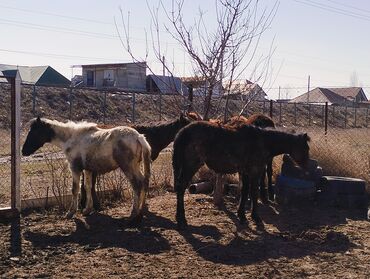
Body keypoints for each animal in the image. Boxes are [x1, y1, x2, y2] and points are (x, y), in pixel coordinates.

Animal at [22, 117, 152, 224]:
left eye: (34, 132)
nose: (23, 151)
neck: (71, 138)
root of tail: (138, 137)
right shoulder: (88, 169)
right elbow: (88, 186)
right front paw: (87, 210)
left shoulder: (75, 168)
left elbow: (75, 189)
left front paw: (70, 213)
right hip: (135, 166)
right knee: (144, 182)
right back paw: (140, 213)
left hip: (128, 167)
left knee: (136, 185)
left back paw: (133, 214)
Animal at [173, 121, 310, 229]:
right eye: (305, 148)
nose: (307, 167)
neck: (263, 141)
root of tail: (184, 131)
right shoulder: (255, 172)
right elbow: (253, 193)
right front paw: (255, 217)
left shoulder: (245, 172)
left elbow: (244, 192)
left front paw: (242, 216)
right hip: (191, 166)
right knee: (181, 188)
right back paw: (182, 220)